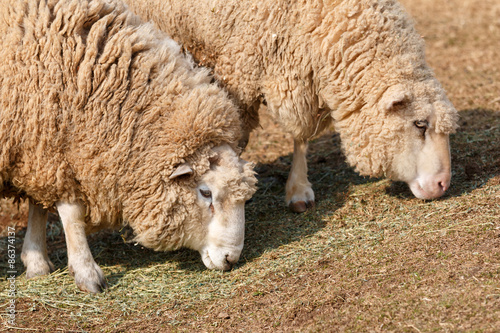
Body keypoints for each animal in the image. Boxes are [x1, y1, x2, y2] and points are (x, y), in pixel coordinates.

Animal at [0, 0, 258, 292]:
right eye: (205, 193)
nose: (230, 259)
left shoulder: (41, 150)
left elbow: (39, 206)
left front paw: (36, 262)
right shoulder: (50, 147)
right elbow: (72, 214)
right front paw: (86, 271)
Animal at [123, 0, 458, 213]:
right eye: (419, 124)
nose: (443, 185)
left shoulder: (302, 73)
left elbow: (301, 136)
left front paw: (298, 190)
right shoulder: (236, 71)